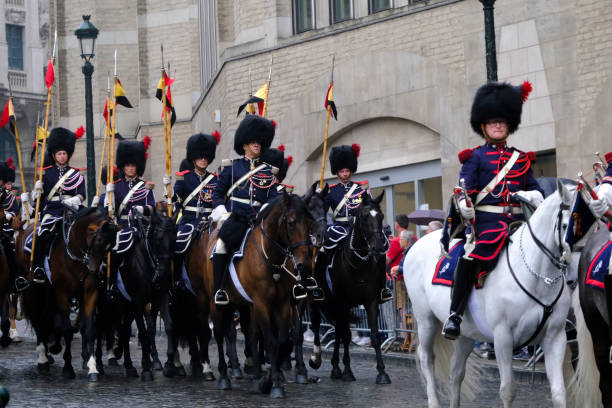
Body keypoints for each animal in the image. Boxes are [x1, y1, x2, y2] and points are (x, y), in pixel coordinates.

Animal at [15, 209, 118, 380]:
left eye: (110, 247)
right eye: (99, 241)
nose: (97, 270)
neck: (75, 255)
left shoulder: (90, 293)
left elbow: (89, 329)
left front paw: (92, 367)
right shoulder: (62, 294)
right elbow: (67, 330)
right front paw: (68, 368)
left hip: (48, 293)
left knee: (47, 319)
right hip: (33, 291)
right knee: (38, 320)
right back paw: (43, 358)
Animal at [404, 182, 576, 408]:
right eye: (566, 225)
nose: (573, 275)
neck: (537, 274)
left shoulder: (555, 337)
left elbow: (558, 392)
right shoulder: (503, 337)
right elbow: (508, 390)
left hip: (466, 332)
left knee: (456, 371)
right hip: (426, 320)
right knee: (427, 358)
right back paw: (434, 401)